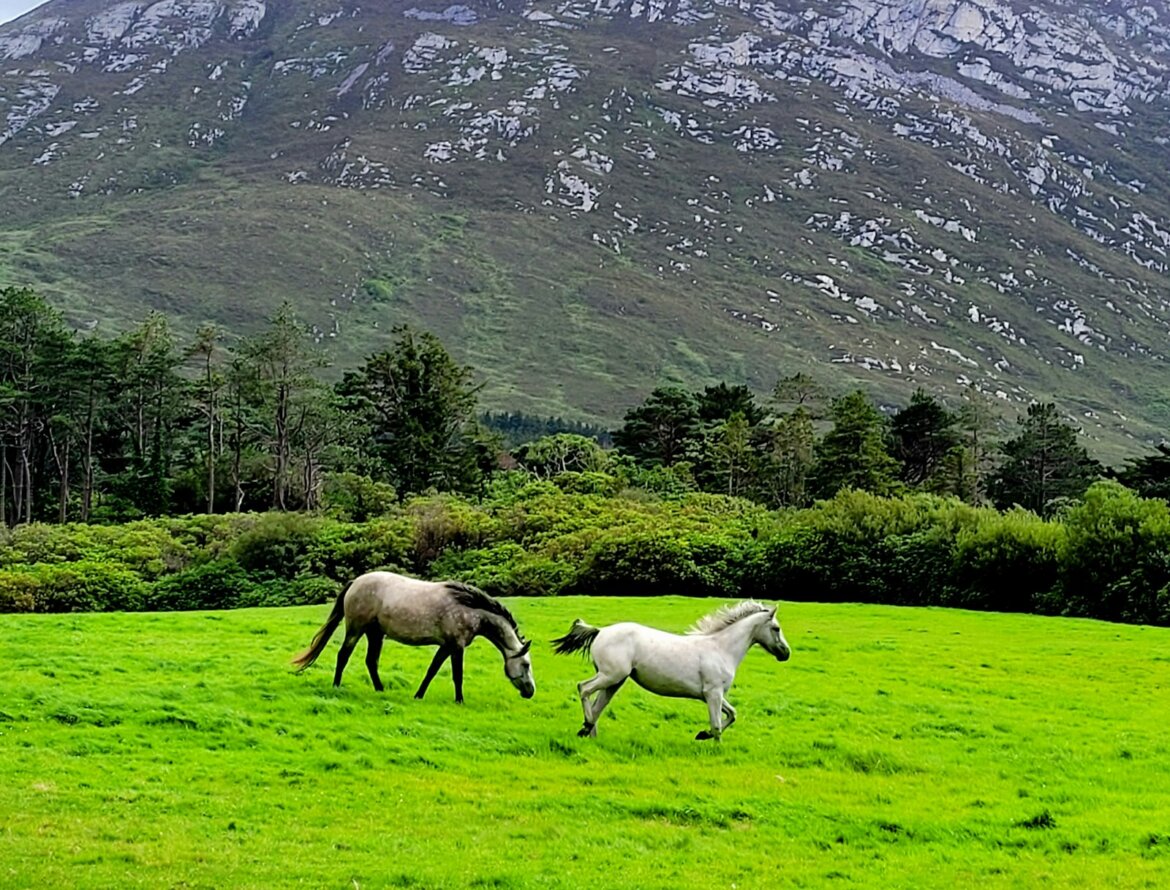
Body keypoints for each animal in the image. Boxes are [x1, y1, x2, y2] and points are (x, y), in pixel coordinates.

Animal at [292, 571, 535, 703]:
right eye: (525, 665)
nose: (531, 691)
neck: (469, 607)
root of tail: (356, 582)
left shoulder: (446, 646)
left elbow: (431, 671)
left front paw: (418, 695)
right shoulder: (456, 646)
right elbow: (457, 676)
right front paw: (459, 700)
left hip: (375, 634)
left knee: (371, 661)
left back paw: (380, 690)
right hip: (355, 629)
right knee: (343, 656)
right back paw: (336, 686)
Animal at [552, 600, 789, 740]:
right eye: (776, 628)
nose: (786, 653)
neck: (721, 648)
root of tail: (600, 631)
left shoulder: (713, 695)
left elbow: (732, 714)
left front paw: (701, 735)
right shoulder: (713, 694)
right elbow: (717, 726)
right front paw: (711, 743)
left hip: (615, 681)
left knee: (597, 705)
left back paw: (589, 732)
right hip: (611, 676)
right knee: (584, 688)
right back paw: (586, 726)